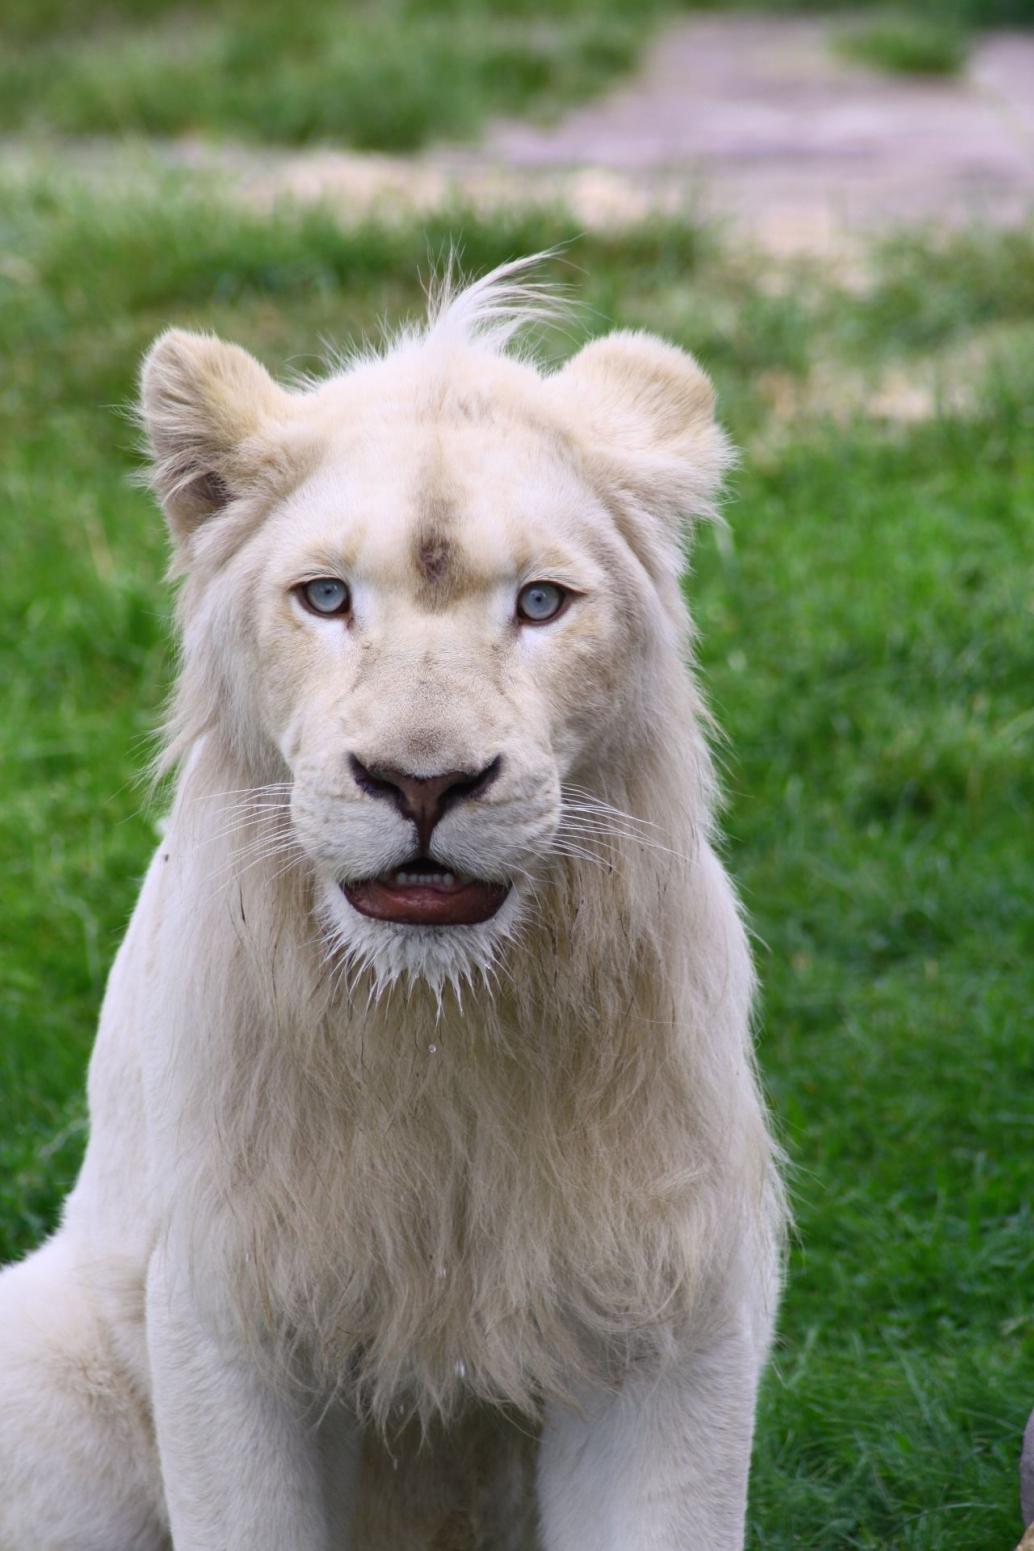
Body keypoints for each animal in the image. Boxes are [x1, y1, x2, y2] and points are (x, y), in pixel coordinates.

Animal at [0, 257, 784, 1550]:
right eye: (324, 597)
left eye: (539, 604)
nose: (422, 782)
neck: (436, 1028)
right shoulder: (225, 1310)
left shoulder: (670, 1313)